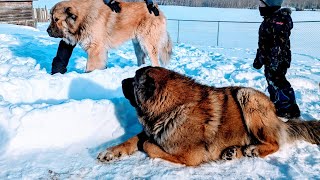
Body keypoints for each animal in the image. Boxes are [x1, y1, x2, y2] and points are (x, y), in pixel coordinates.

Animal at [98, 66, 320, 166]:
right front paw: (111, 152)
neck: (174, 106)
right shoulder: (154, 129)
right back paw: (233, 152)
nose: (122, 80)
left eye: (133, 80)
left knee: (275, 143)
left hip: (247, 97)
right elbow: (133, 140)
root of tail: (278, 117)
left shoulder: (189, 155)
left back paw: (253, 150)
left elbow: (148, 145)